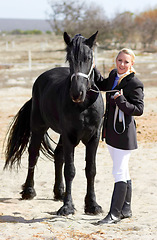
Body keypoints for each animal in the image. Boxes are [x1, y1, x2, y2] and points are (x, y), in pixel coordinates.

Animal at [4, 31, 104, 216]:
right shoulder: (69, 136)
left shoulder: (93, 137)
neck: (84, 106)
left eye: (88, 57)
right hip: (38, 128)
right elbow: (70, 170)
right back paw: (29, 191)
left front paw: (92, 205)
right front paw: (67, 207)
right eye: (69, 58)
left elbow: (91, 170)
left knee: (58, 155)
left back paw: (59, 192)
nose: (77, 93)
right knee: (33, 154)